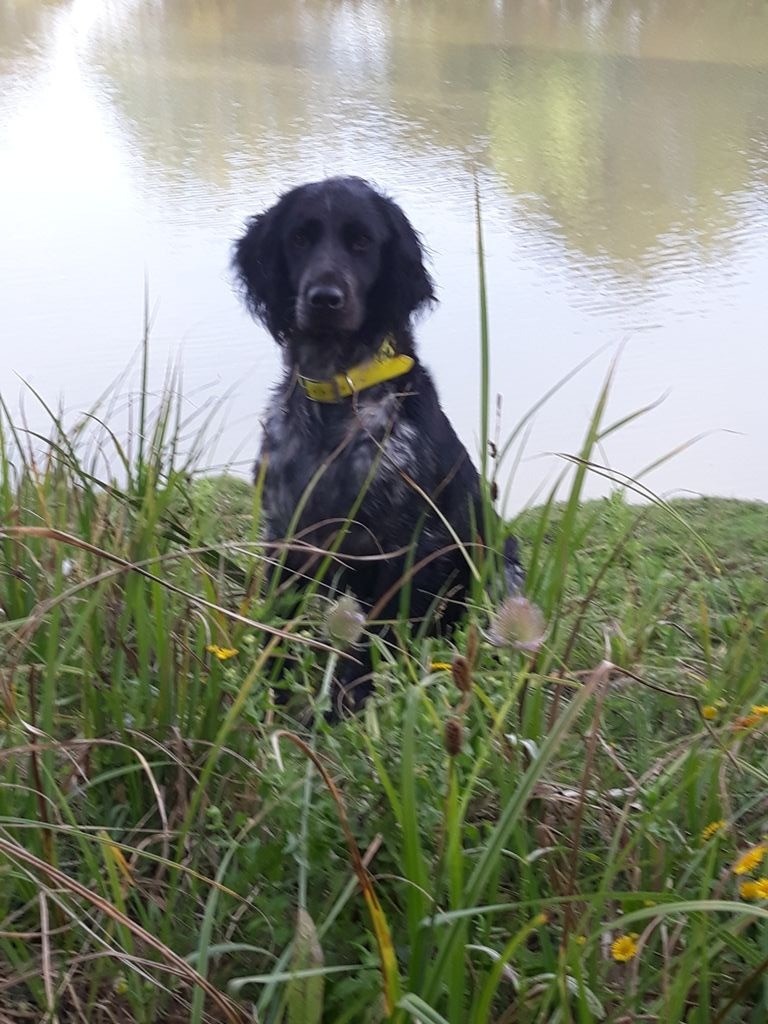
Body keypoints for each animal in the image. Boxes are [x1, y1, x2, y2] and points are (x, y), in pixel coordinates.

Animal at [234, 178, 524, 712]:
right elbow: (277, 626)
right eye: (299, 238)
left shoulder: (409, 546)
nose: (325, 299)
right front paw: (270, 690)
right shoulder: (285, 534)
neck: (337, 400)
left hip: (499, 564)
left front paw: (349, 700)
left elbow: (376, 635)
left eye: (362, 242)